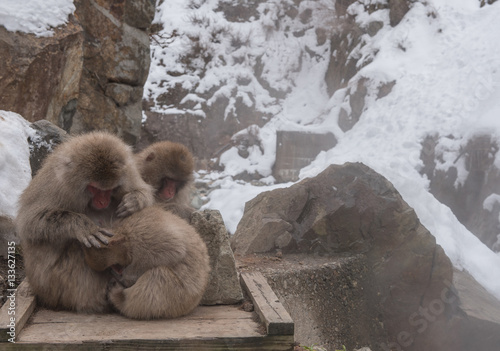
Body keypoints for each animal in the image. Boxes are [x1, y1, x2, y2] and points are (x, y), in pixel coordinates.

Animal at [15, 132, 153, 314]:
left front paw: (135, 200)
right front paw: (82, 225)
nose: (103, 201)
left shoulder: (128, 173)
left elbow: (142, 192)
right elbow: (30, 221)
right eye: (94, 188)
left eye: (109, 189)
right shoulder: (56, 184)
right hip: (58, 285)